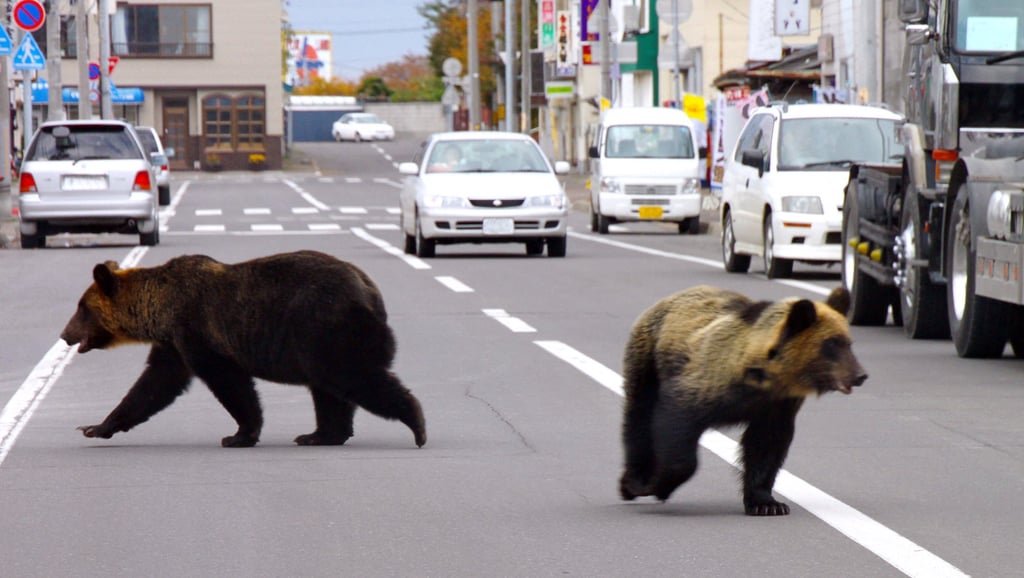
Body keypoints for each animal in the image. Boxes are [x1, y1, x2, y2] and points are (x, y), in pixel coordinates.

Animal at [60, 250, 426, 449]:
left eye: (81, 308)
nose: (64, 335)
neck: (159, 309)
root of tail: (370, 290)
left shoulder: (196, 331)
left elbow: (229, 383)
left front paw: (239, 434)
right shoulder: (173, 344)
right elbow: (153, 385)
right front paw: (95, 427)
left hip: (325, 327)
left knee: (352, 377)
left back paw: (417, 424)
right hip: (319, 339)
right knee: (328, 389)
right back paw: (319, 434)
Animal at [618, 285, 866, 516]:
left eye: (849, 342)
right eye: (832, 343)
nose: (860, 375)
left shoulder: (776, 406)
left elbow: (766, 446)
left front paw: (767, 504)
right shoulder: (705, 382)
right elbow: (676, 423)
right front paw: (658, 485)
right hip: (648, 358)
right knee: (639, 415)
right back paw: (633, 481)